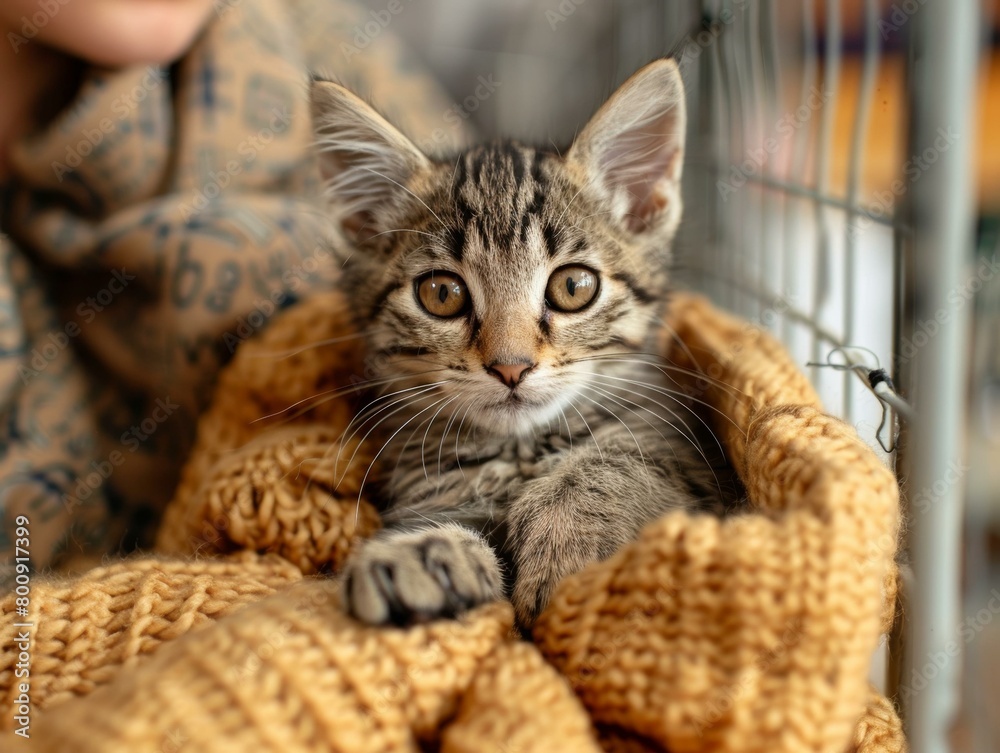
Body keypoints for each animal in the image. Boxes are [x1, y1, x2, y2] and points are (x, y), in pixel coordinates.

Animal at [308, 57, 724, 628]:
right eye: (441, 294)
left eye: (573, 287)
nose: (511, 367)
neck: (524, 446)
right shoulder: (436, 486)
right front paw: (419, 554)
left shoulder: (686, 460)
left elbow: (616, 463)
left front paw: (571, 540)